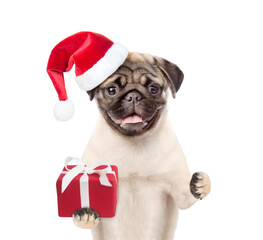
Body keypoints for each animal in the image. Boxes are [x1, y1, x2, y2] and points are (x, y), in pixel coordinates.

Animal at [71, 52, 210, 240]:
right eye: (112, 90)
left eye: (153, 89)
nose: (133, 96)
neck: (133, 143)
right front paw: (85, 214)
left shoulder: (179, 193)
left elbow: (188, 194)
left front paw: (201, 184)